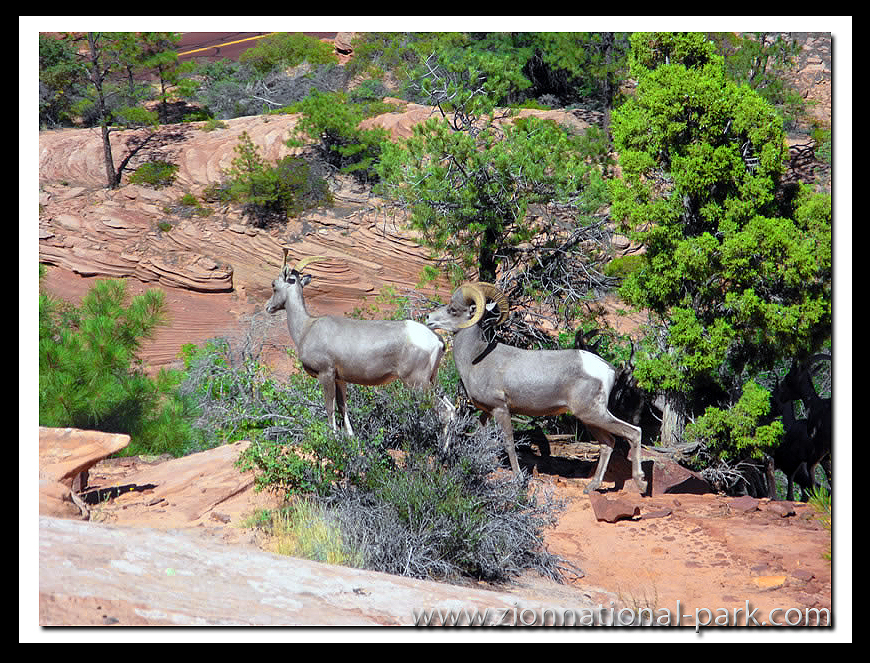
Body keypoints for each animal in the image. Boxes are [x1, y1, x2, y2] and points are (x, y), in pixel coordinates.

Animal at [266, 250, 451, 436]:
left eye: (274, 284)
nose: (268, 307)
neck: (307, 327)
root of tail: (437, 340)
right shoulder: (340, 379)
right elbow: (343, 408)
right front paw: (351, 437)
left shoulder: (326, 374)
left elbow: (330, 409)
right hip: (432, 380)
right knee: (450, 408)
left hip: (417, 383)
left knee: (444, 412)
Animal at [426, 282, 648, 494]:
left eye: (453, 309)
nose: (429, 318)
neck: (475, 359)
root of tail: (608, 369)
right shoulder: (486, 412)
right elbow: (481, 438)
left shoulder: (501, 410)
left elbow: (509, 443)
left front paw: (518, 479)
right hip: (590, 419)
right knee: (608, 444)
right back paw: (592, 486)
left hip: (594, 414)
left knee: (633, 432)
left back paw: (641, 483)